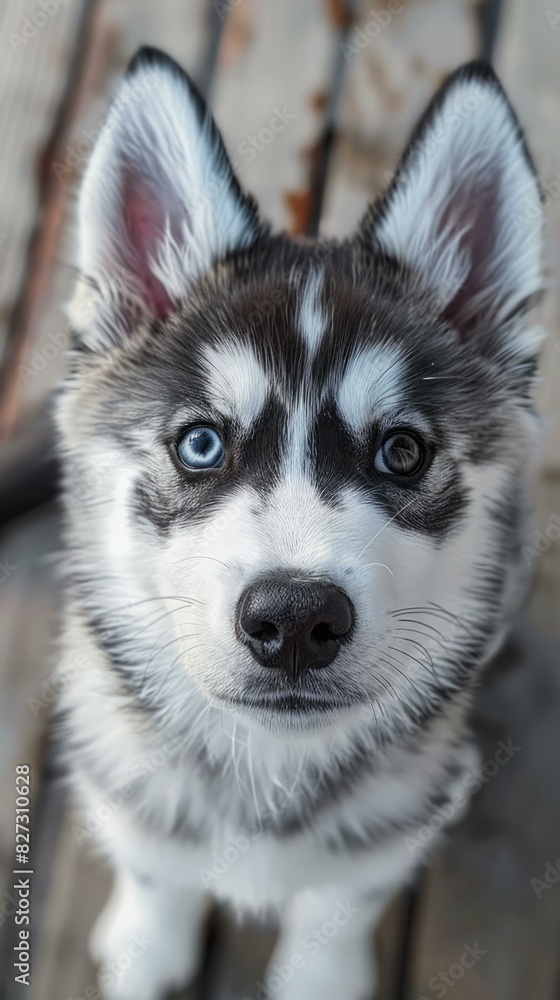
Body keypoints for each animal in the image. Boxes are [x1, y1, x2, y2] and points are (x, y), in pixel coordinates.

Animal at [57, 50, 544, 1000]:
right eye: (201, 443)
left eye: (402, 452)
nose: (294, 620)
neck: (268, 767)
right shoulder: (123, 763)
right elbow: (153, 861)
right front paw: (147, 945)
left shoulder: (391, 823)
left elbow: (340, 902)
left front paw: (321, 974)